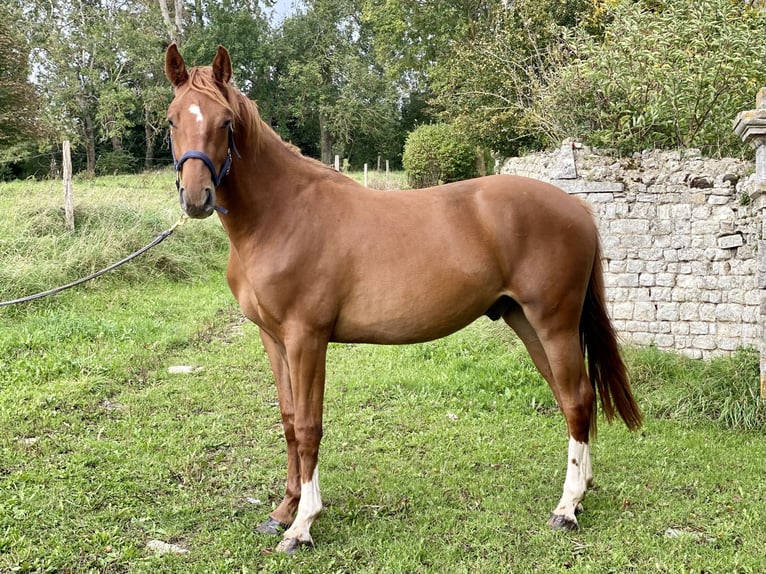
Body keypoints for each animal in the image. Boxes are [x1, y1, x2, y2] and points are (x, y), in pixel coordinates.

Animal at [164, 43, 642, 554]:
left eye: (225, 122)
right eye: (172, 120)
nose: (196, 197)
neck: (282, 215)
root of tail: (578, 207)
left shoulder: (306, 339)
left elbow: (310, 426)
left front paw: (303, 524)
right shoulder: (273, 339)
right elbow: (291, 421)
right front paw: (283, 511)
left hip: (554, 323)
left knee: (576, 398)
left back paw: (566, 509)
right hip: (527, 323)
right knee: (572, 398)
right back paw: (580, 494)